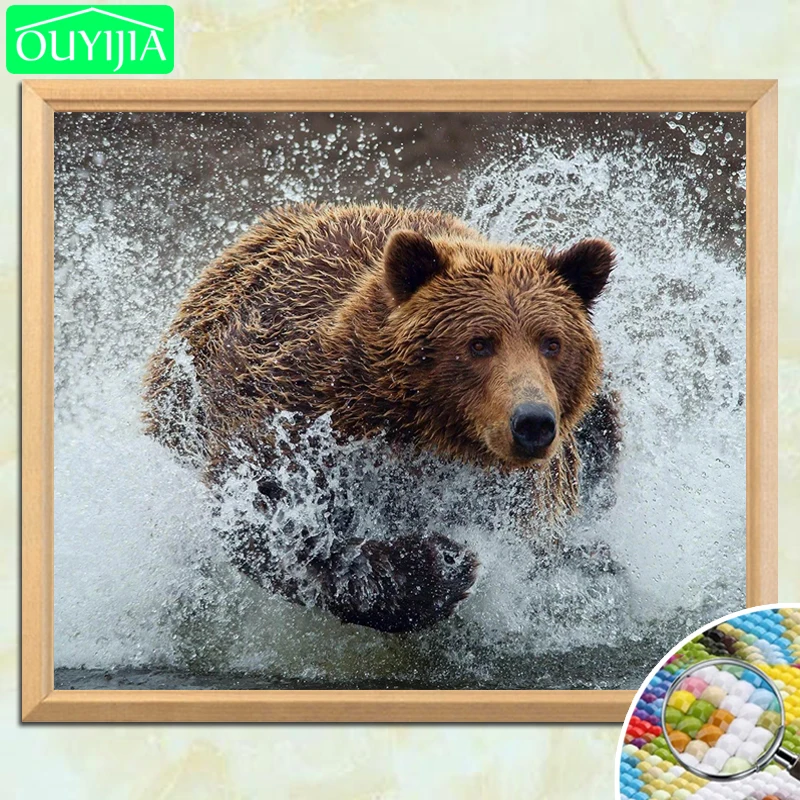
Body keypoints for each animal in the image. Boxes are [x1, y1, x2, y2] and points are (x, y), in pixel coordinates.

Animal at [143, 203, 620, 634]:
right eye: (479, 343)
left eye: (551, 342)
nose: (532, 422)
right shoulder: (294, 412)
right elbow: (270, 516)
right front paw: (440, 564)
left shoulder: (520, 492)